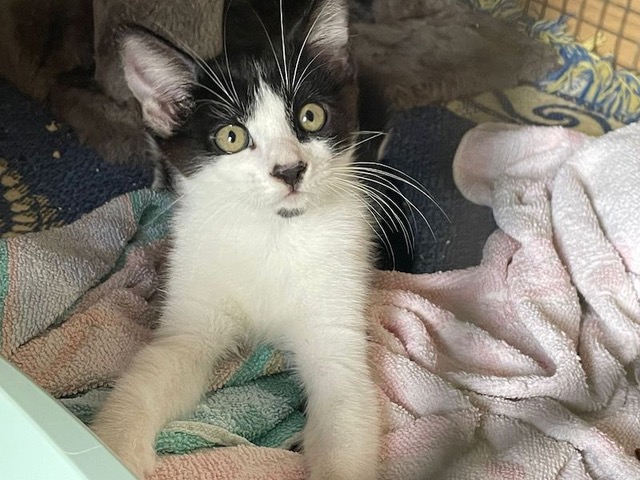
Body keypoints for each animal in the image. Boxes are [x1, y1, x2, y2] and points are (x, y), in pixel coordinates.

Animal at [90, 1, 382, 479]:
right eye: (232, 136)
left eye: (311, 116)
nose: (289, 169)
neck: (273, 233)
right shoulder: (192, 312)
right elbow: (156, 369)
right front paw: (113, 449)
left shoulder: (336, 321)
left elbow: (345, 406)